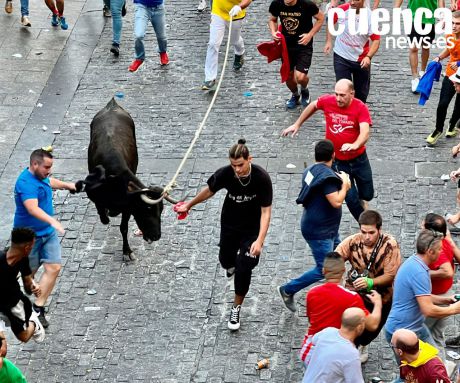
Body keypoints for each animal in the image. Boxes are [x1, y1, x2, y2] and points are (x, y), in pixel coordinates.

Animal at [75, 98, 178, 260]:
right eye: (147, 209)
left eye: (161, 209)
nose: (156, 236)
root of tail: (112, 104)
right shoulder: (92, 192)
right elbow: (102, 213)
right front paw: (106, 215)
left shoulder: (128, 207)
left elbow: (123, 228)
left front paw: (127, 251)